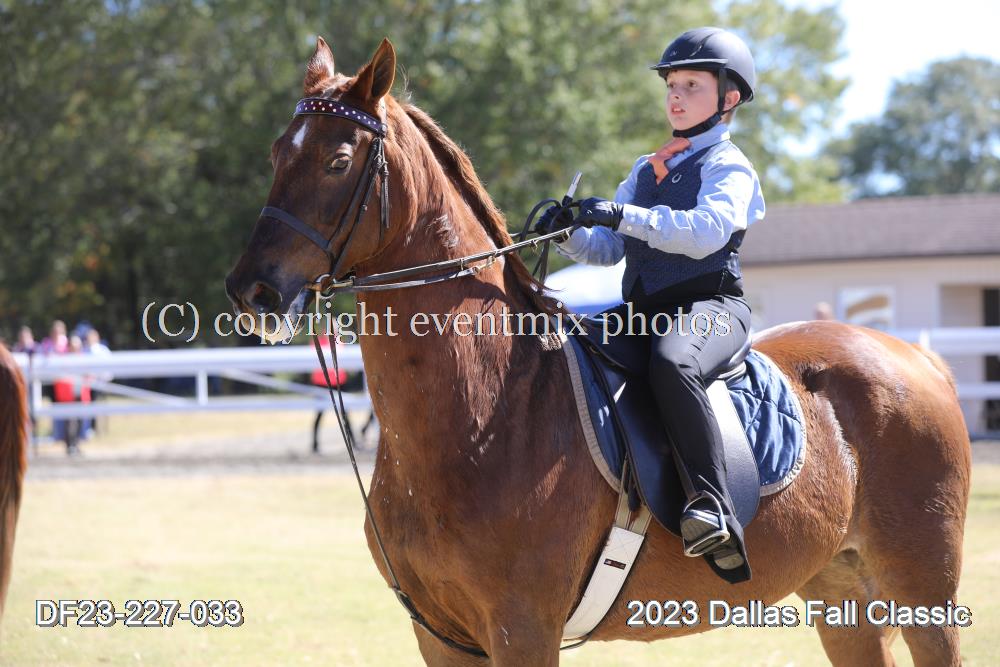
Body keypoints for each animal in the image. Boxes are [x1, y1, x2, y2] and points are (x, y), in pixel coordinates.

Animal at [226, 37, 971, 666]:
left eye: (337, 161)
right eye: (275, 154)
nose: (251, 289)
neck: (485, 409)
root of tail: (917, 360)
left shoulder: (522, 630)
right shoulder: (441, 636)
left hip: (922, 592)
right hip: (838, 593)